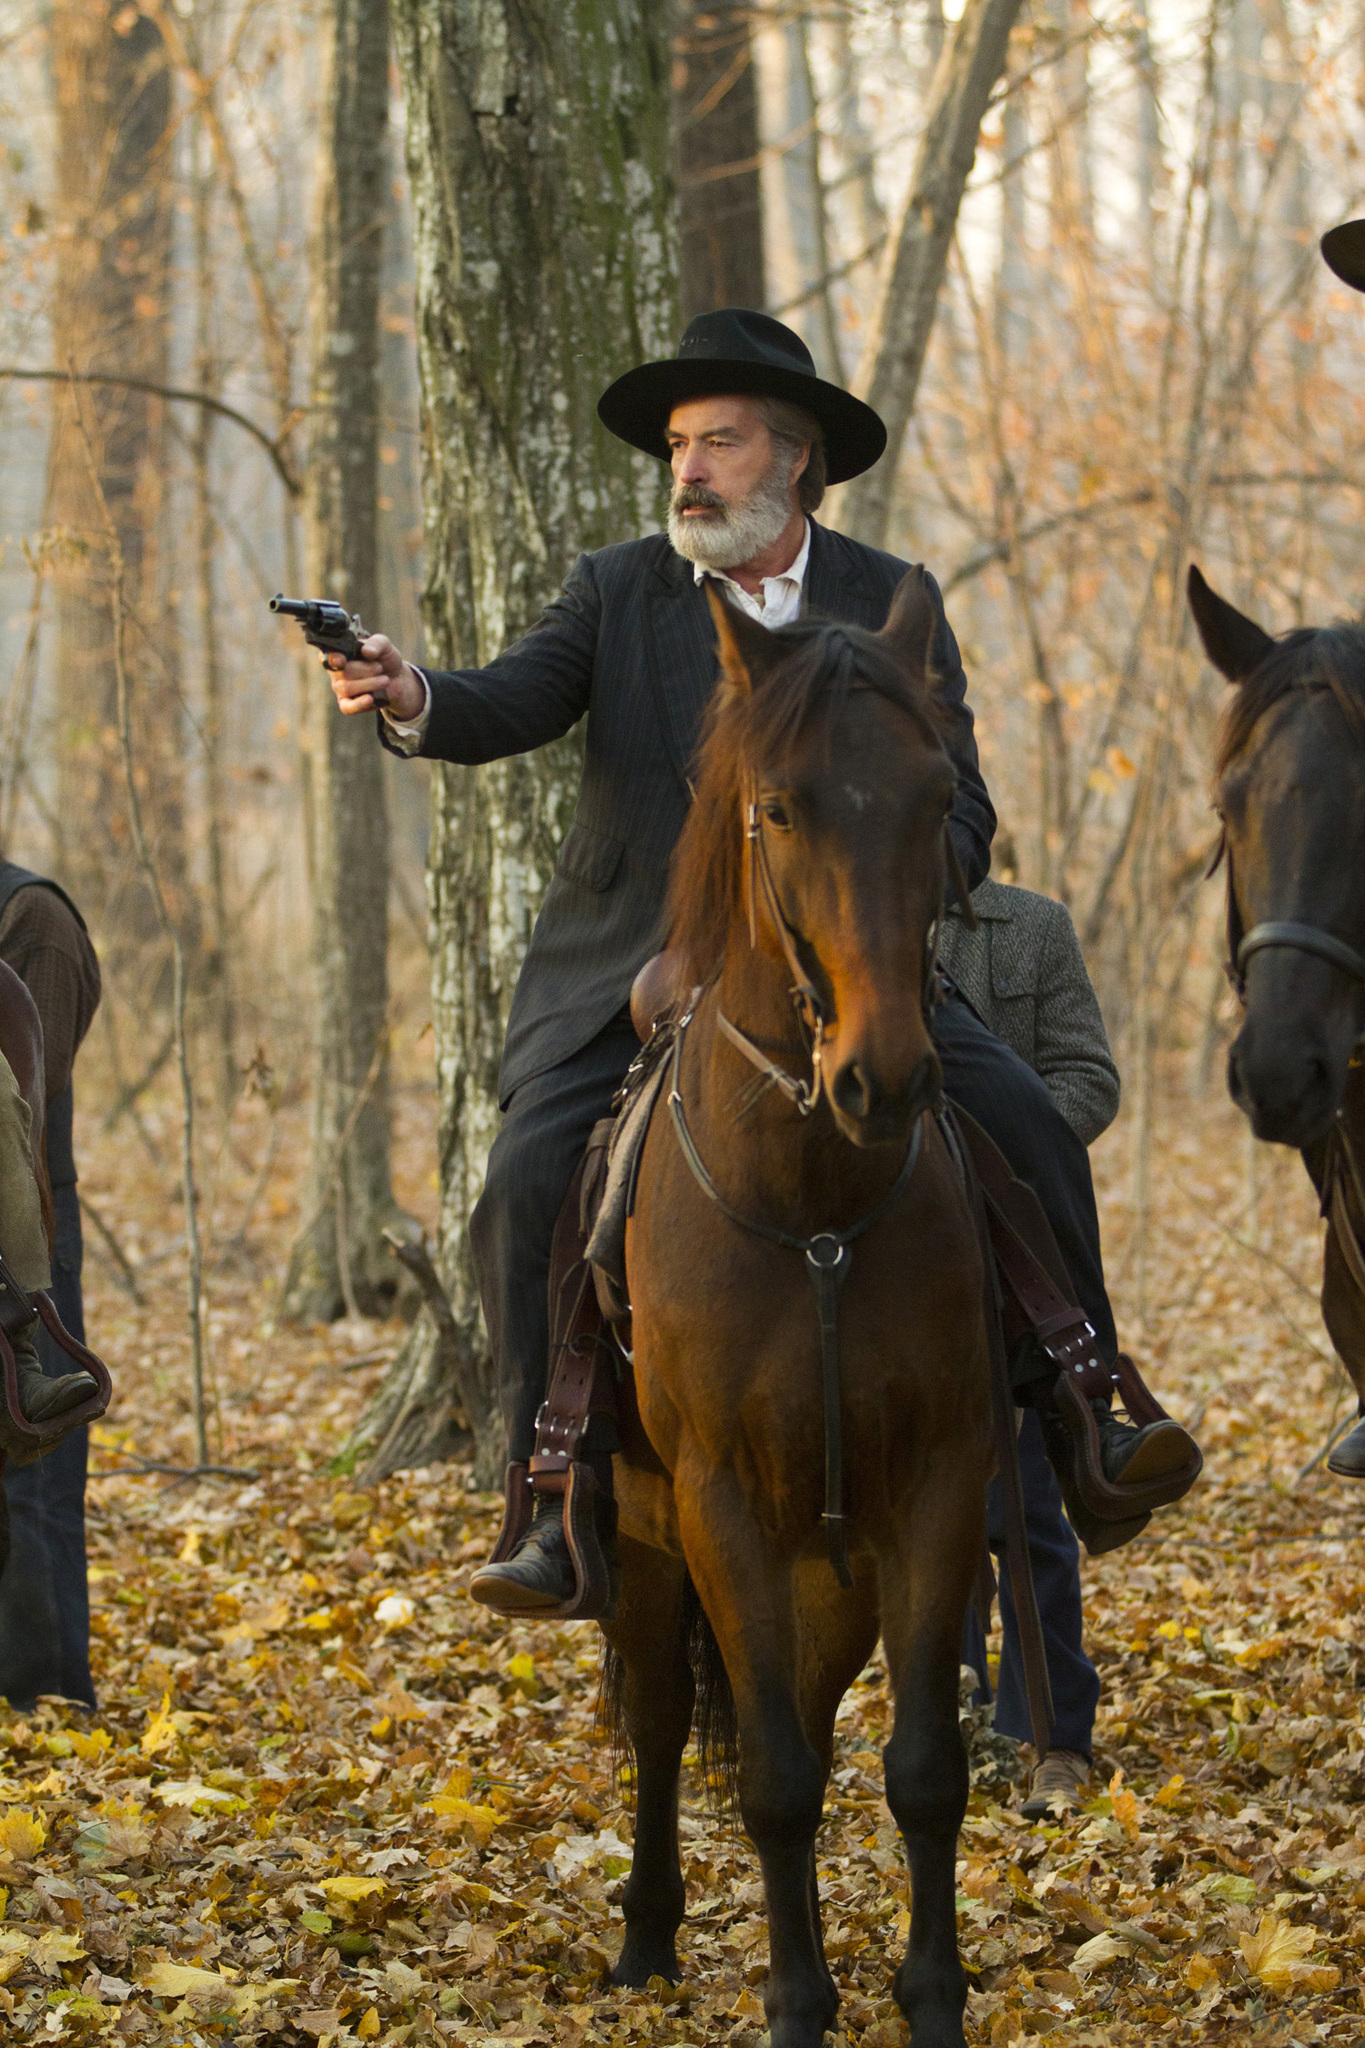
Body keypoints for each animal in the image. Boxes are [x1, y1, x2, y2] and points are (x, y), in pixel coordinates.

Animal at [605, 573, 994, 2048]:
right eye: (776, 807)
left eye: (938, 796)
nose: (883, 1078)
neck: (817, 1203)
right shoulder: (716, 1503)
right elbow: (769, 1777)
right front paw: (791, 2001)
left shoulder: (938, 1487)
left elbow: (921, 1767)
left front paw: (927, 1997)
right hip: (647, 1538)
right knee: (666, 1722)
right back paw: (647, 1935)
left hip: (831, 1571)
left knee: (819, 1727)